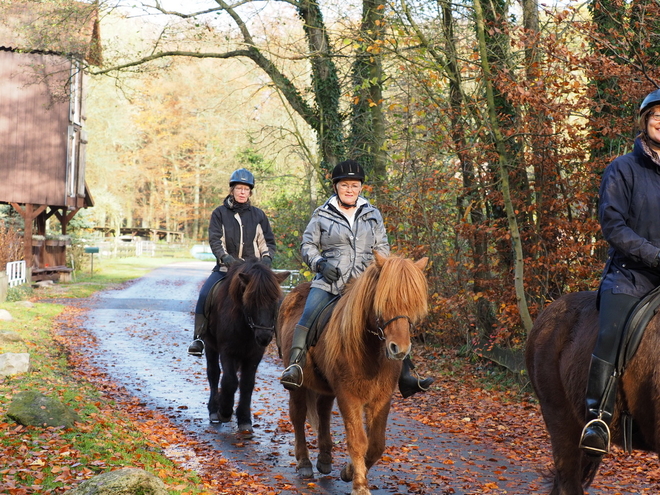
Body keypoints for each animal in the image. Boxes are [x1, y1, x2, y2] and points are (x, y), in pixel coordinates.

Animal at [206, 262, 288, 436]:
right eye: (251, 300)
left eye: (275, 300)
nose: (264, 336)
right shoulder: (227, 351)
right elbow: (230, 381)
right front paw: (225, 411)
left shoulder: (254, 355)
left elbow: (247, 383)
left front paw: (244, 419)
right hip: (210, 346)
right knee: (213, 374)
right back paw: (214, 410)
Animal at [274, 254, 426, 494]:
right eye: (384, 301)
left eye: (414, 303)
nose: (399, 349)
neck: (370, 351)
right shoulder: (348, 396)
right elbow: (358, 440)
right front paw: (360, 484)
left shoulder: (381, 399)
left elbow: (376, 444)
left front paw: (349, 471)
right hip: (299, 385)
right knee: (298, 416)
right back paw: (305, 462)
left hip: (326, 387)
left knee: (323, 412)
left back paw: (325, 458)